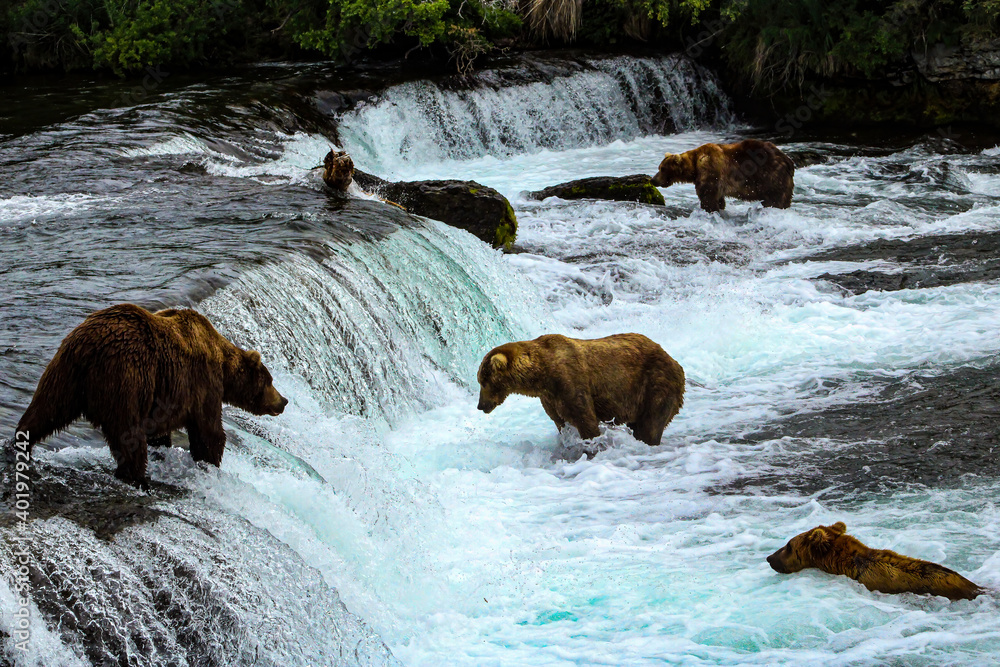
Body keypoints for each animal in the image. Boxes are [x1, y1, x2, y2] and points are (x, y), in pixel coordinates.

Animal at [13, 306, 288, 488]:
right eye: (271, 381)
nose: (284, 401)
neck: (222, 361)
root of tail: (90, 345)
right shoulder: (203, 384)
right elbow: (209, 431)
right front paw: (210, 461)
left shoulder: (166, 396)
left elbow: (161, 430)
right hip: (126, 377)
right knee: (129, 433)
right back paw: (138, 476)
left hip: (65, 371)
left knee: (46, 409)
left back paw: (22, 442)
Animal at [478, 332, 684, 448]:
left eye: (483, 382)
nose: (481, 405)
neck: (542, 374)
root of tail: (674, 360)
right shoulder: (550, 398)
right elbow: (561, 422)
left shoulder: (570, 381)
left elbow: (585, 420)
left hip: (655, 386)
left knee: (650, 425)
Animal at [648, 140, 796, 213]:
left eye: (662, 169)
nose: (653, 179)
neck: (695, 165)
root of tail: (788, 160)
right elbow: (719, 199)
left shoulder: (710, 169)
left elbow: (708, 196)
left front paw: (709, 209)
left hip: (771, 177)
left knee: (777, 199)